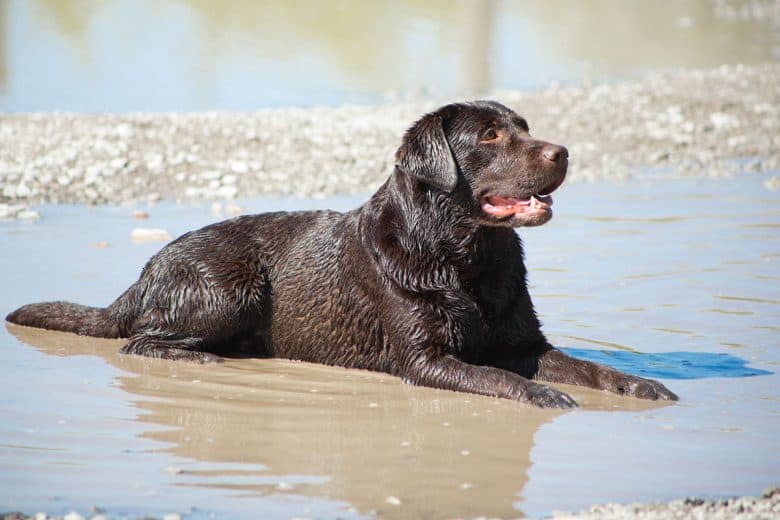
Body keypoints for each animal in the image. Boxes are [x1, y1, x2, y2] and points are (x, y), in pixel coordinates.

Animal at [6, 101, 676, 408]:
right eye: (490, 135)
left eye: (525, 126)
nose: (563, 151)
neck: (465, 256)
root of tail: (147, 270)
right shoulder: (426, 360)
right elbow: (495, 376)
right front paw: (540, 396)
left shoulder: (526, 345)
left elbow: (587, 366)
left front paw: (641, 383)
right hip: (228, 286)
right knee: (140, 342)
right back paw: (205, 359)